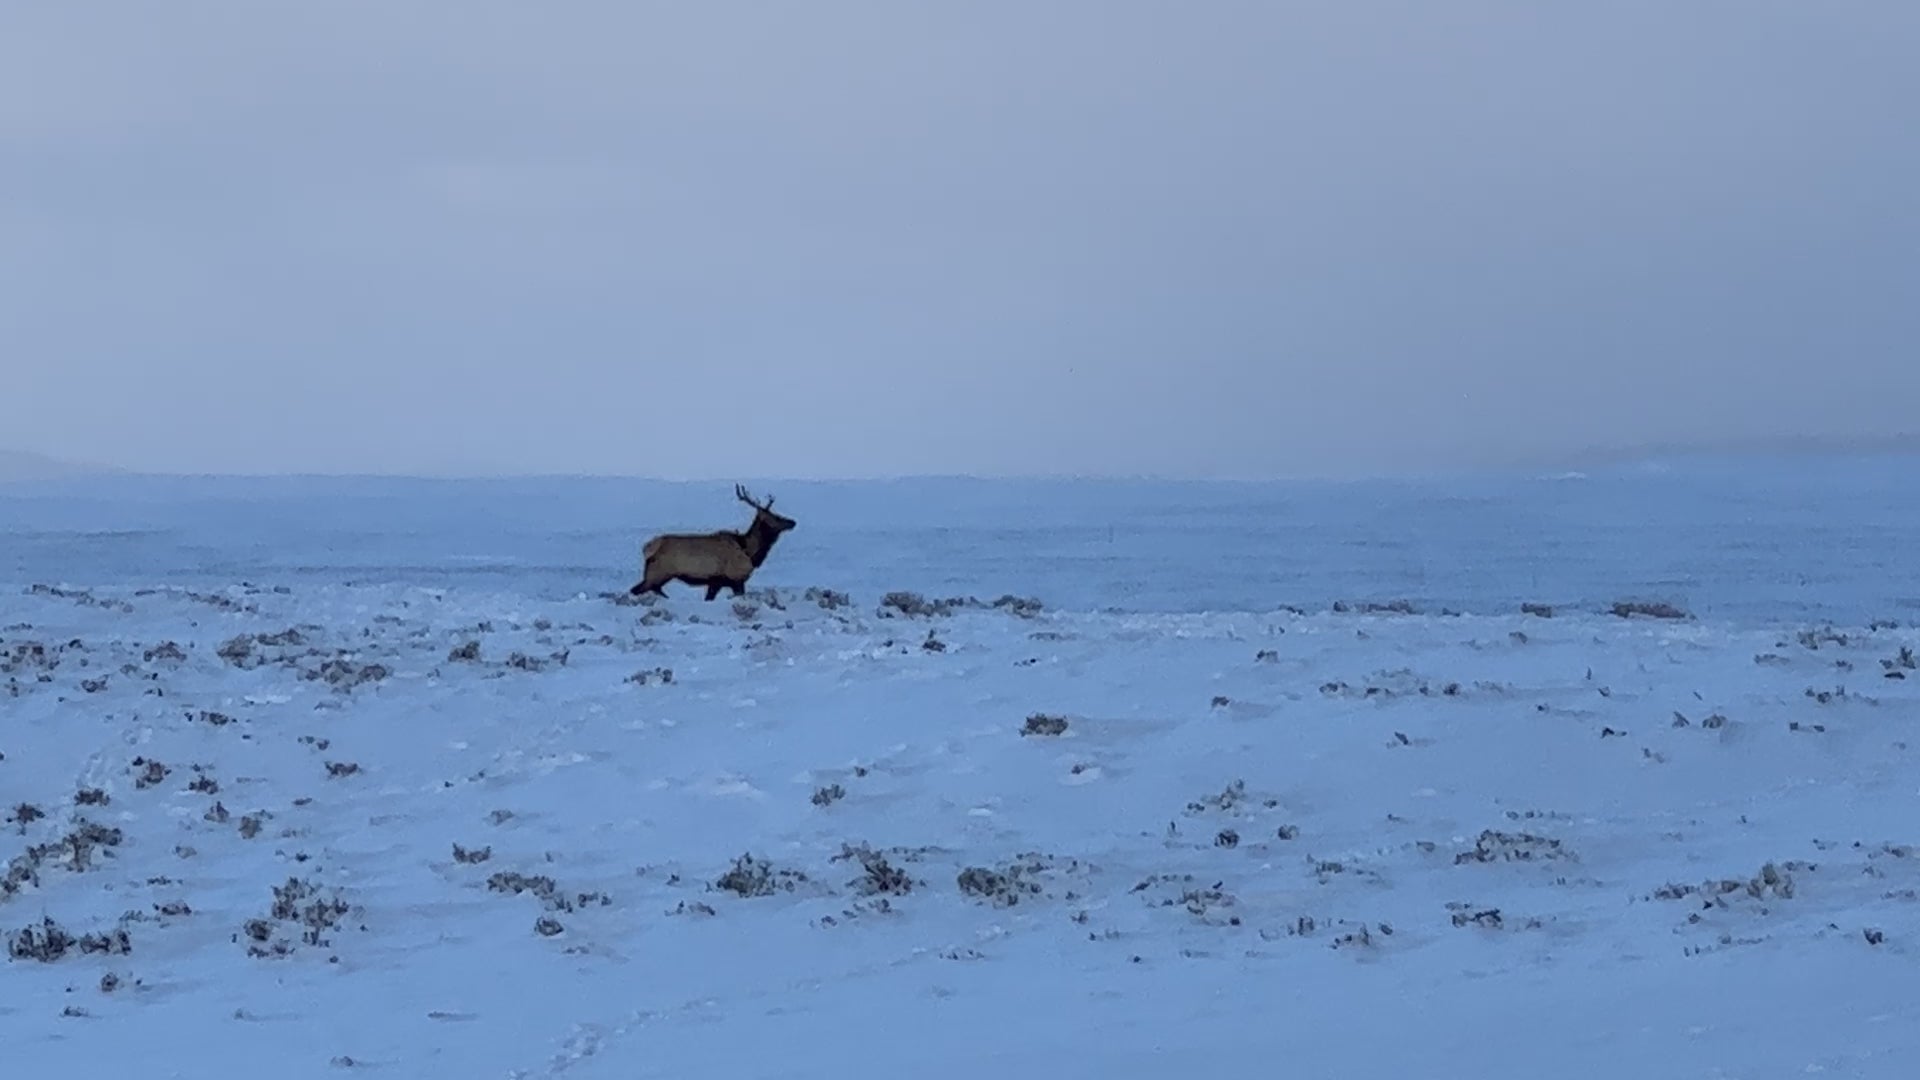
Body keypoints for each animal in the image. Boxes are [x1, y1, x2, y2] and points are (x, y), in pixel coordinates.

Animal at [629, 486, 794, 599]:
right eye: (776, 516)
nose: (793, 522)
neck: (749, 552)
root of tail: (647, 548)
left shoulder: (716, 582)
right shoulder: (735, 579)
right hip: (658, 573)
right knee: (637, 590)